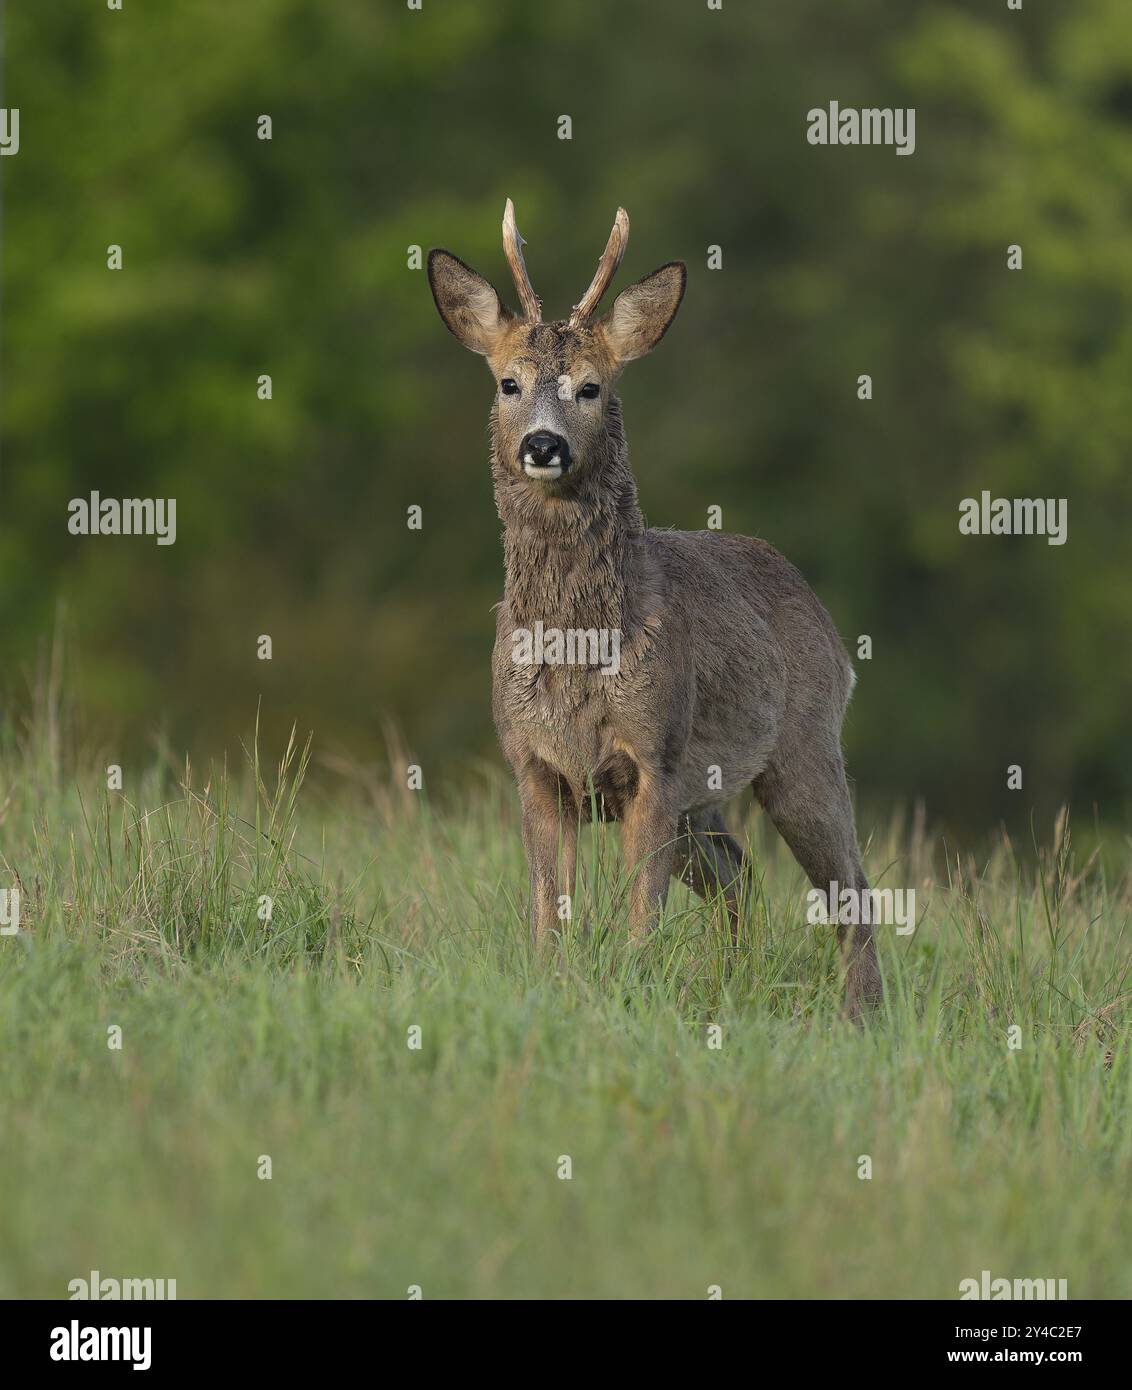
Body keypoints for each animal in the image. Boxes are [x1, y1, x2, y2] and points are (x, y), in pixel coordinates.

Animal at [431, 201, 884, 1017]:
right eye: (508, 382)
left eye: (592, 387)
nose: (542, 445)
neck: (578, 652)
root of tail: (829, 625)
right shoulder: (532, 762)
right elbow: (550, 910)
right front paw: (552, 983)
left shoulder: (655, 756)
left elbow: (642, 910)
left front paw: (634, 987)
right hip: (709, 799)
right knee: (741, 875)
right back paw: (737, 983)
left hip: (803, 750)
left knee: (852, 889)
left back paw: (861, 1016)